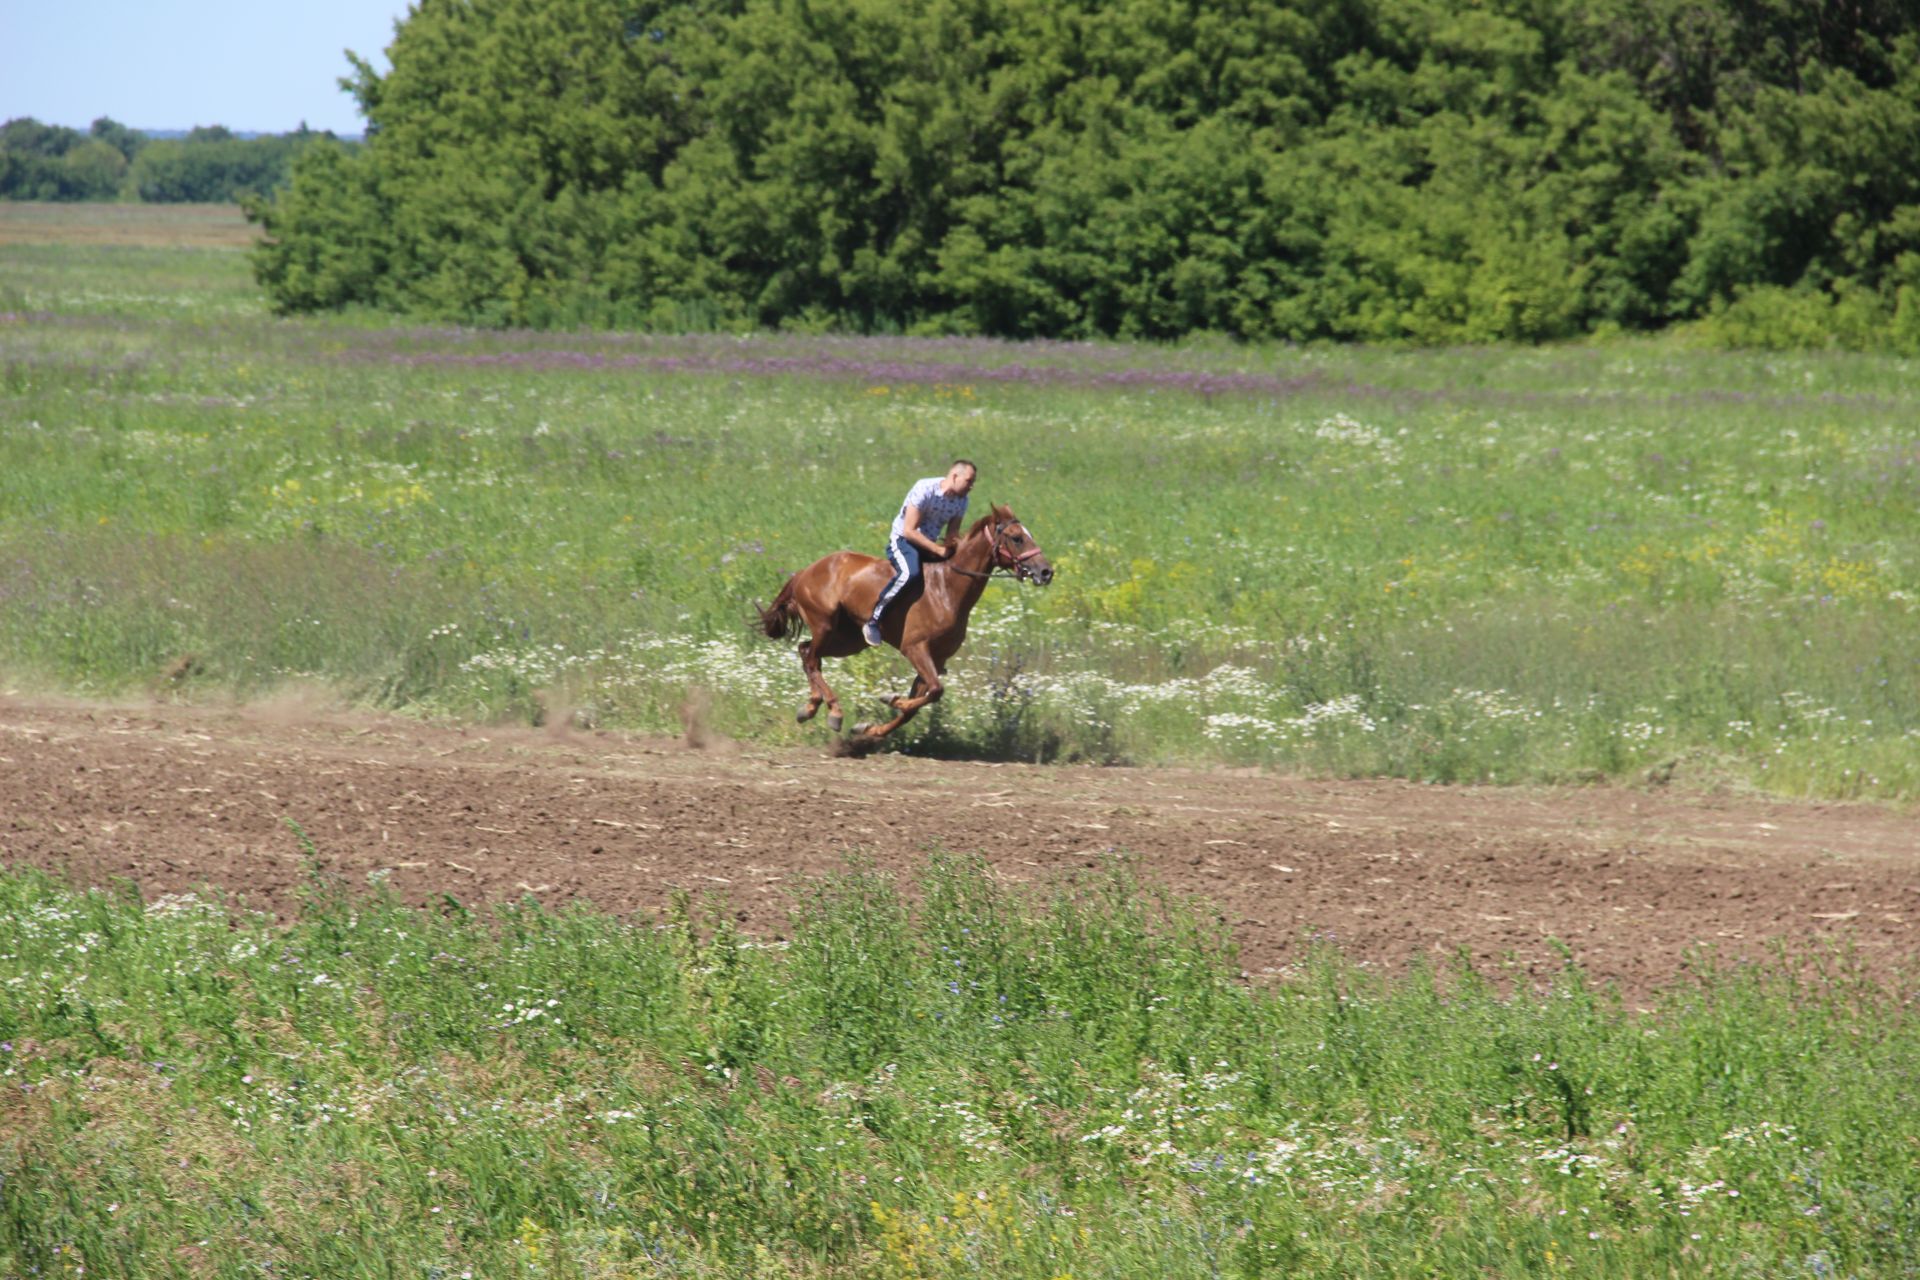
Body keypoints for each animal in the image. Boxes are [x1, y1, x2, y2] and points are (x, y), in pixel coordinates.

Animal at [752, 498, 1059, 740]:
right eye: (1017, 537)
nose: (1046, 571)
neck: (946, 588)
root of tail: (804, 572)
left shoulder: (937, 659)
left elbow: (922, 700)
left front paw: (869, 729)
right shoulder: (916, 648)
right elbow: (934, 691)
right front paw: (890, 698)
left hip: (849, 639)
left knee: (806, 651)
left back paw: (811, 707)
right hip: (825, 624)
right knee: (812, 658)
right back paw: (834, 711)